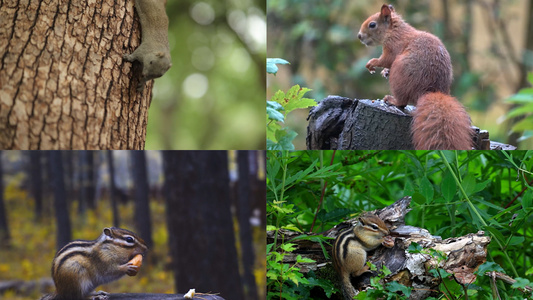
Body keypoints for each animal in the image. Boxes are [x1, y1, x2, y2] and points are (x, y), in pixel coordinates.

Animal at [356, 4, 472, 150]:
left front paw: (372, 63)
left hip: (399, 74)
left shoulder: (393, 46)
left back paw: (392, 100)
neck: (395, 31)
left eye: (372, 24)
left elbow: (386, 60)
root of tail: (428, 90)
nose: (359, 36)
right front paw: (384, 72)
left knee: (402, 102)